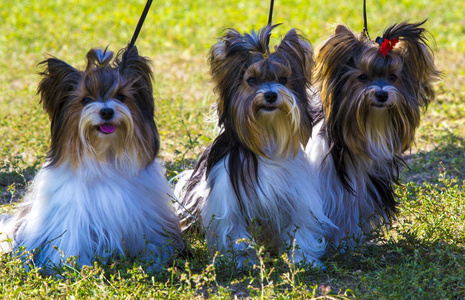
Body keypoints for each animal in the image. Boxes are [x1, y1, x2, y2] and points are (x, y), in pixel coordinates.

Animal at [0, 45, 185, 274]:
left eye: (121, 97)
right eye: (85, 100)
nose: (106, 111)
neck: (106, 156)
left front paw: (153, 262)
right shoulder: (73, 220)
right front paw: (77, 268)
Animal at [176, 25, 332, 268]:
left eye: (284, 79)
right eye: (251, 80)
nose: (270, 95)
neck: (266, 137)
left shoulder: (296, 197)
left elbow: (300, 229)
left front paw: (303, 260)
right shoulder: (228, 202)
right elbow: (235, 233)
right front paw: (242, 261)